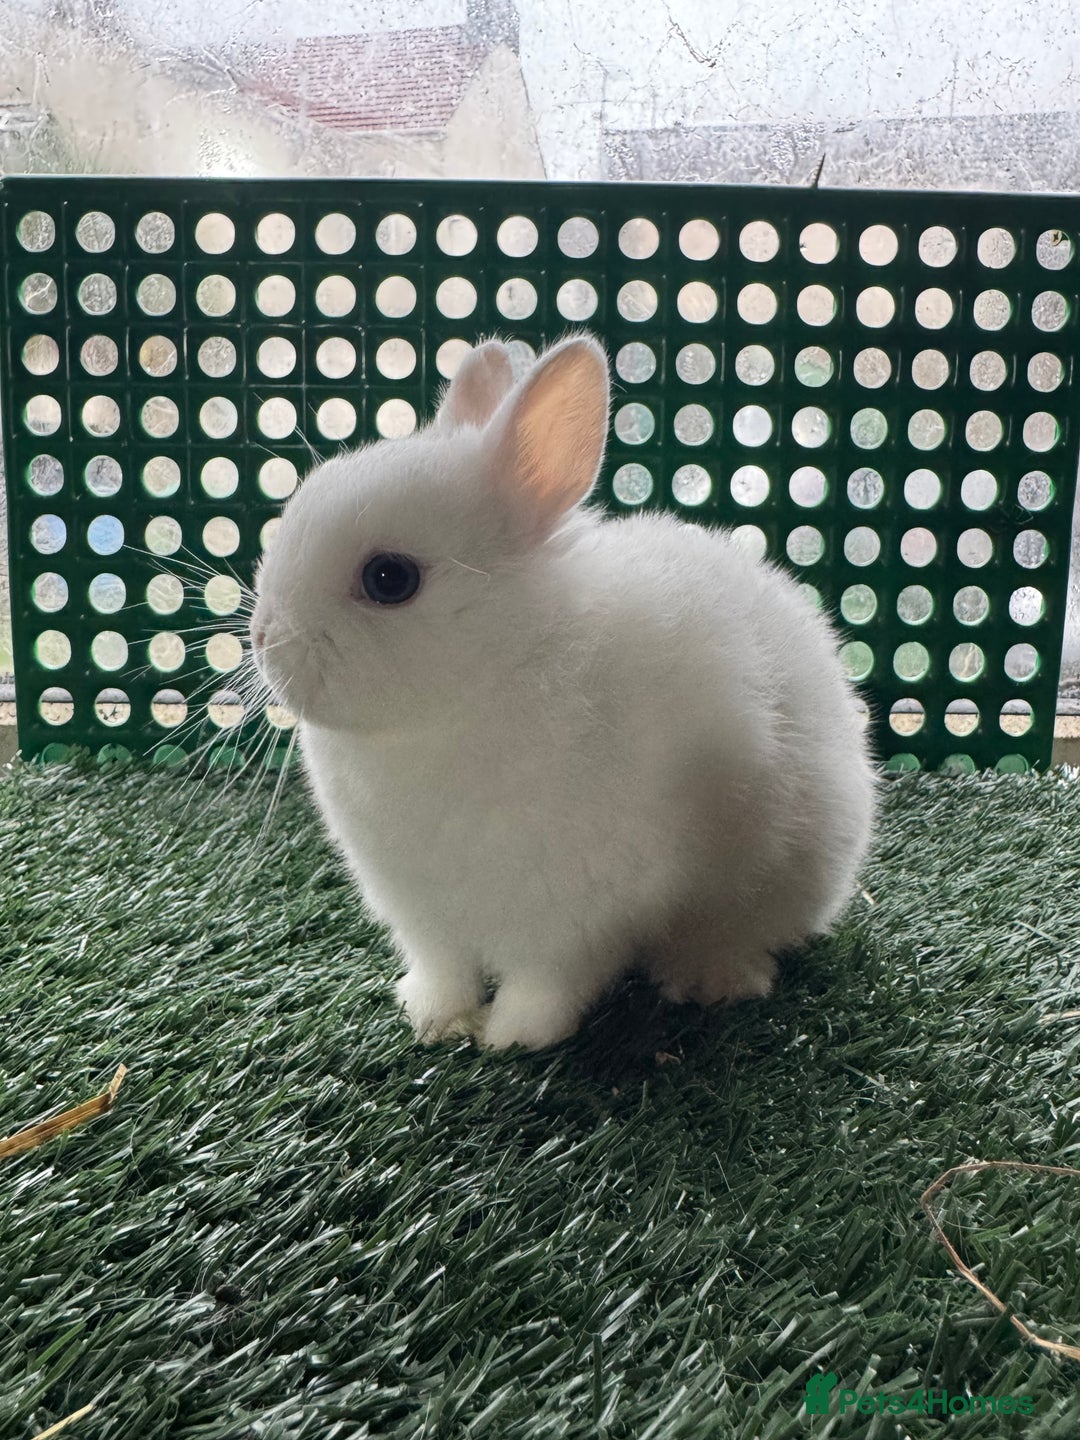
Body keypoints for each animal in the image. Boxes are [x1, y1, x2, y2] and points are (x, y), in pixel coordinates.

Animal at [249, 334, 876, 1051]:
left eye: (389, 578)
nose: (261, 637)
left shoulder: (577, 918)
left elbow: (548, 983)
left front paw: (513, 1038)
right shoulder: (425, 918)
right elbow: (443, 968)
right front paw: (434, 1019)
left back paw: (707, 981)